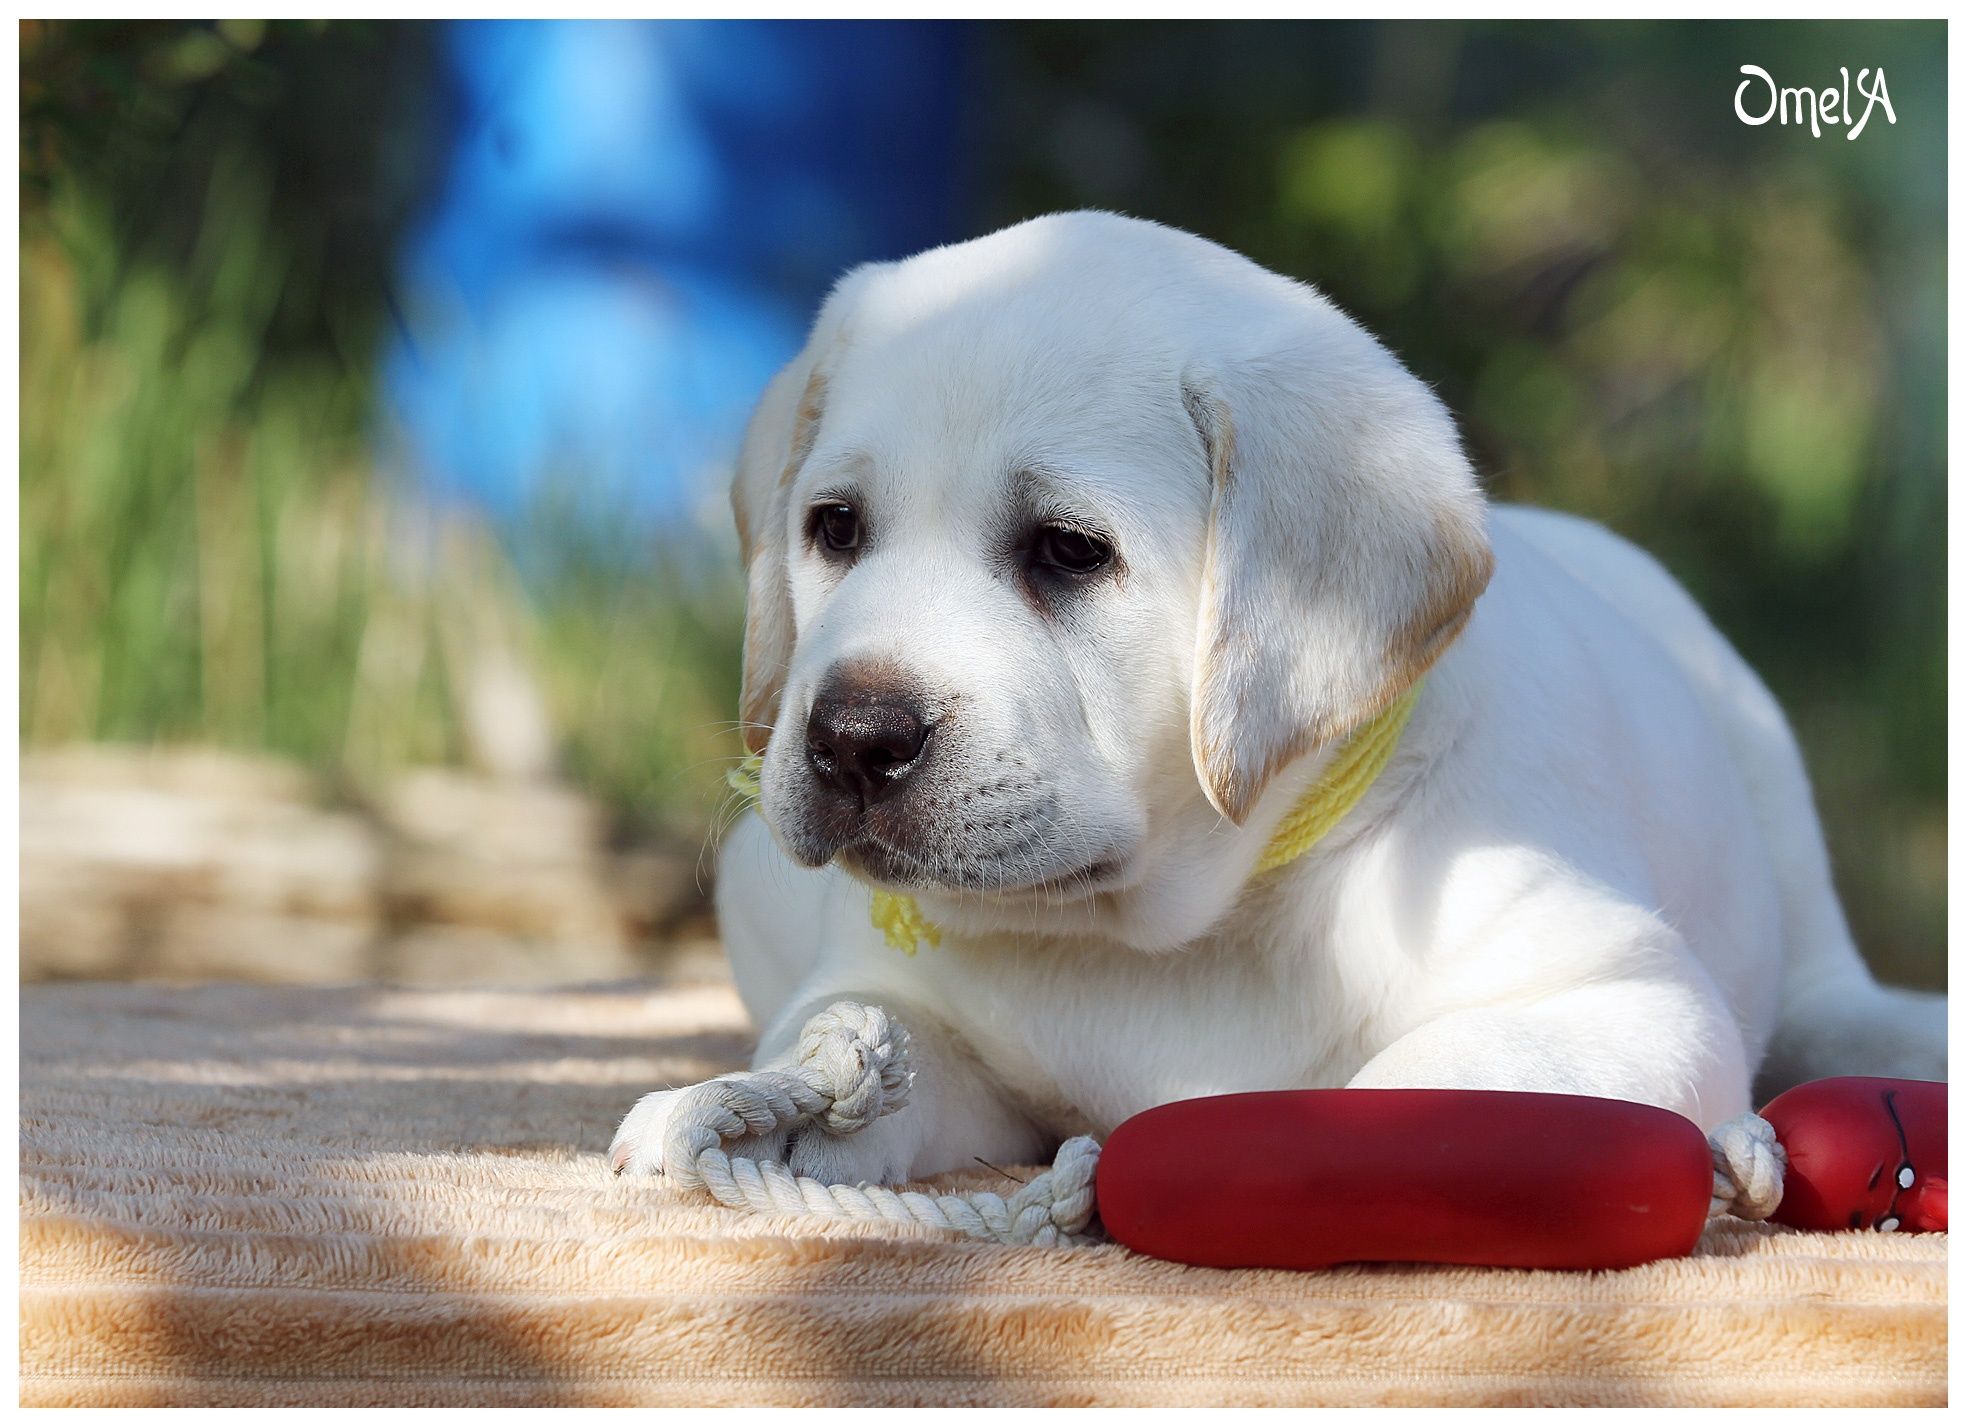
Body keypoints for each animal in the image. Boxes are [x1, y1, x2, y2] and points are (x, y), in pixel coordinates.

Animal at [606, 204, 1944, 1188]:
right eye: (833, 529)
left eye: (1069, 551)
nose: (852, 738)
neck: (1177, 927)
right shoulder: (924, 1021)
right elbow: (865, 1061)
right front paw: (751, 1105)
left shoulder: (1621, 998)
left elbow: (1421, 1090)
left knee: (1830, 999)